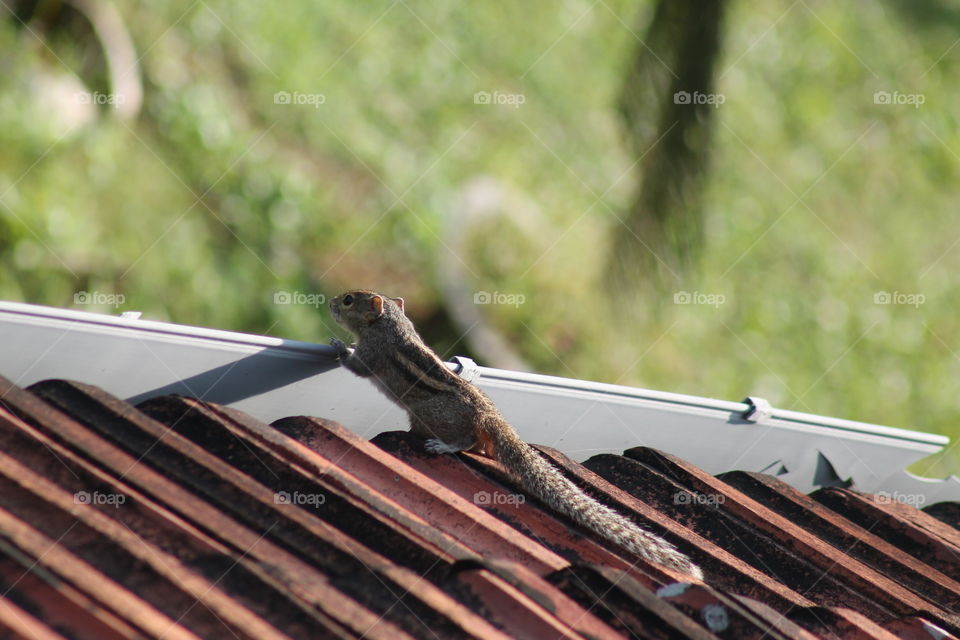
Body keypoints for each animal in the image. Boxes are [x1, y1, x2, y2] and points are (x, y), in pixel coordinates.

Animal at [328, 289, 703, 579]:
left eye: (348, 300)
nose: (330, 302)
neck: (390, 324)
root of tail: (490, 416)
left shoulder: (373, 350)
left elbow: (357, 365)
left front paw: (338, 347)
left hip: (429, 415)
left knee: (465, 441)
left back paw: (443, 445)